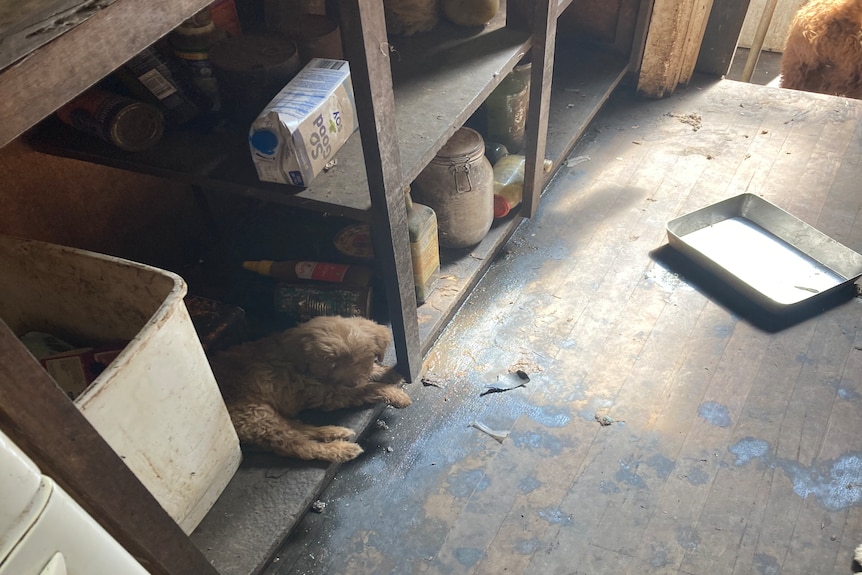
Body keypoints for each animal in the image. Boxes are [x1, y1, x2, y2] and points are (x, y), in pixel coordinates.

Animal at [210, 316, 412, 464]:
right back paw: (341, 449)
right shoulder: (328, 394)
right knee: (297, 446)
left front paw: (388, 373)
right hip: (255, 415)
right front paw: (395, 394)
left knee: (296, 427)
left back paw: (332, 431)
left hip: (261, 415)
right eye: (331, 364)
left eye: (360, 358)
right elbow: (367, 389)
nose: (352, 383)